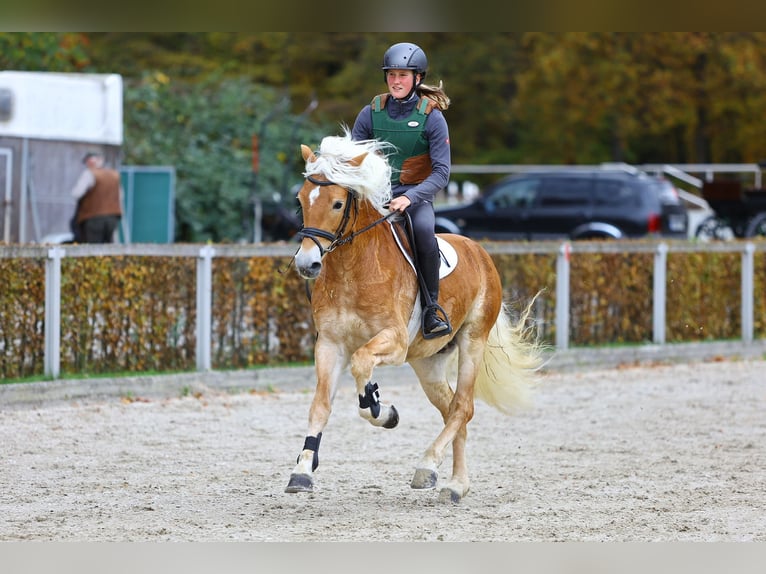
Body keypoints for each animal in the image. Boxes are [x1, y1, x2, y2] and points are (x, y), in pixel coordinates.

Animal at [284, 132, 544, 504]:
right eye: (301, 200)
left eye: (336, 204)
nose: (308, 264)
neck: (353, 269)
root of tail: (479, 251)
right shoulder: (330, 345)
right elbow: (320, 405)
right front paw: (303, 470)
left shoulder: (393, 342)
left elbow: (361, 365)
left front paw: (381, 409)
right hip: (427, 362)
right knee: (452, 410)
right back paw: (455, 483)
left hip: (472, 341)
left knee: (463, 407)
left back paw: (429, 465)